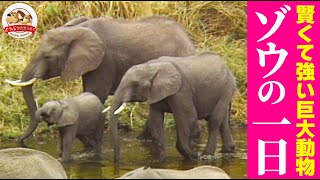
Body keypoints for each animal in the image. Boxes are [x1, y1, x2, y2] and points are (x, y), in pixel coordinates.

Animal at [5, 15, 196, 146]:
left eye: (47, 57)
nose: (19, 140)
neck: (77, 29)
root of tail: (188, 39)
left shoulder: (104, 61)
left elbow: (94, 94)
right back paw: (142, 140)